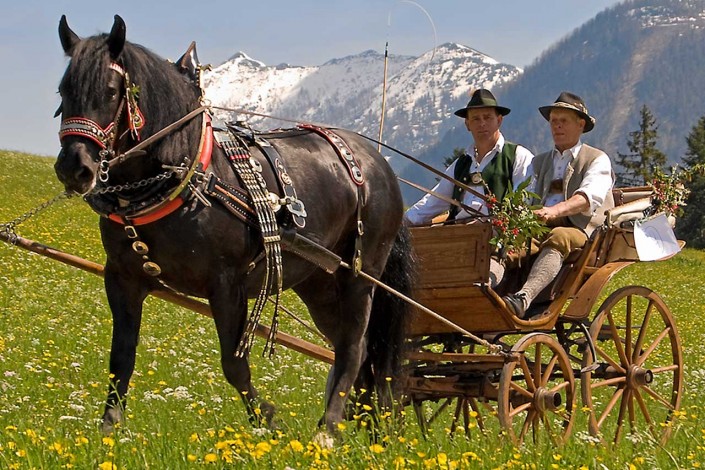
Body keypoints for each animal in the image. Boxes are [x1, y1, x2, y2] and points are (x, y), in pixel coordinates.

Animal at [55, 15, 412, 436]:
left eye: (111, 91)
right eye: (63, 90)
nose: (74, 167)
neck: (188, 177)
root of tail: (380, 163)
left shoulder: (227, 285)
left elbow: (234, 364)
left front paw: (267, 420)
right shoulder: (122, 279)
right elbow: (120, 358)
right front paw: (109, 429)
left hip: (360, 276)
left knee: (355, 349)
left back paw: (329, 429)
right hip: (321, 285)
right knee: (357, 351)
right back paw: (369, 427)